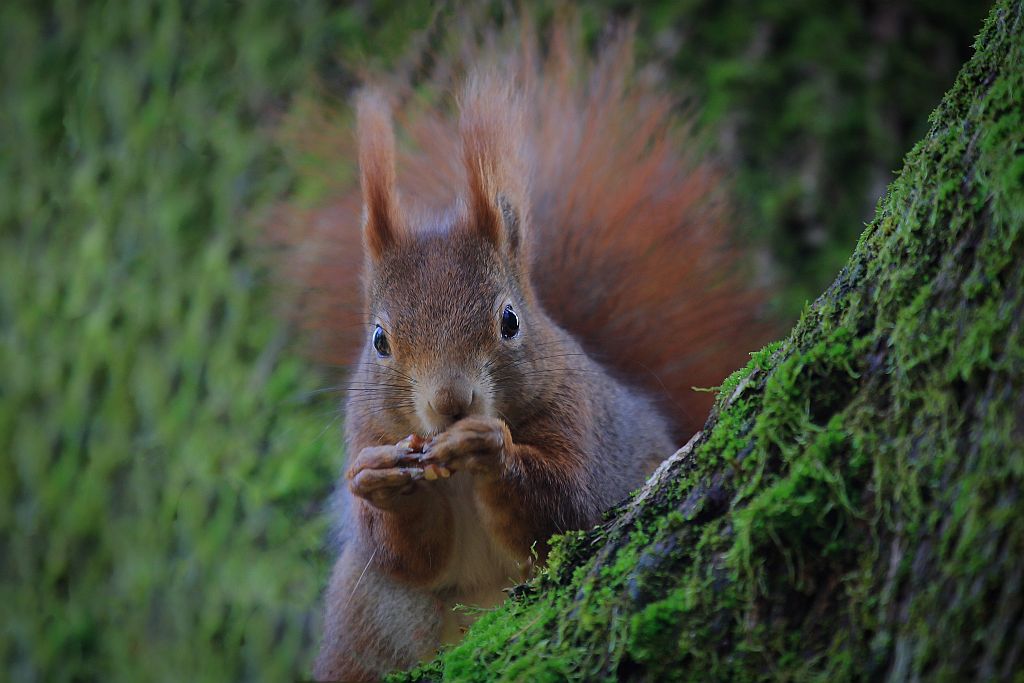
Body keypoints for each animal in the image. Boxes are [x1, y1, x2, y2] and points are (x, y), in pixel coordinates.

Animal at [272, 18, 770, 679]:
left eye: (509, 322)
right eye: (379, 339)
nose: (451, 403)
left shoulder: (579, 421)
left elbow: (562, 511)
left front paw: (490, 447)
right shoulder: (367, 430)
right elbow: (408, 554)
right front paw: (380, 480)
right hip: (369, 616)